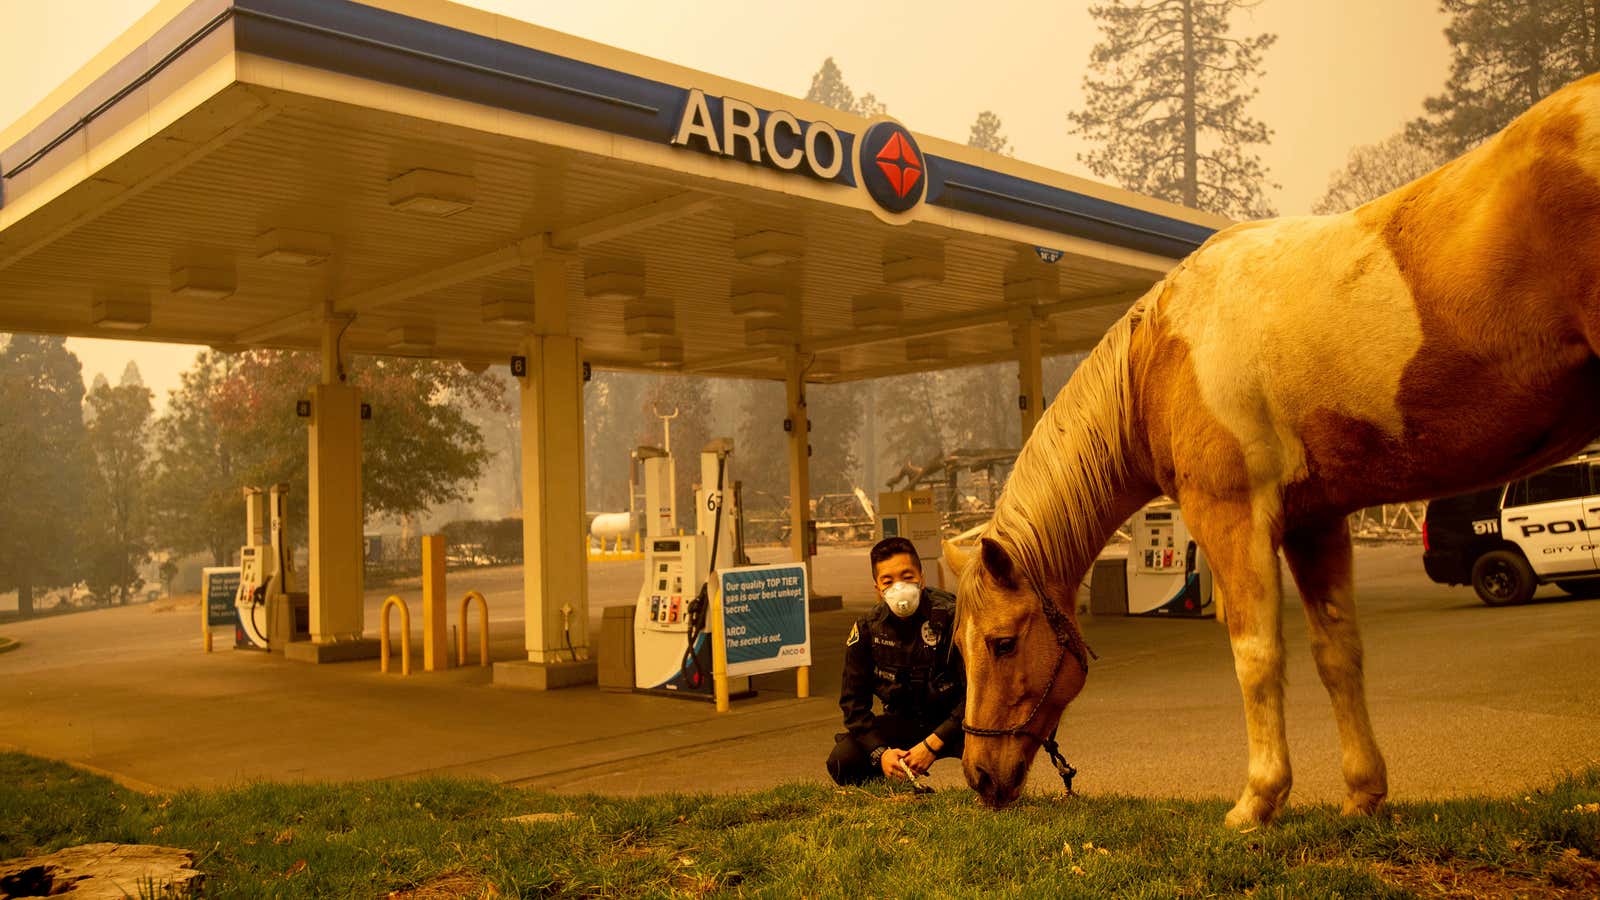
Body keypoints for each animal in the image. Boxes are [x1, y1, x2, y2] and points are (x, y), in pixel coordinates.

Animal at [940, 73, 1600, 826]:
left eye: (1002, 642)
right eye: (957, 647)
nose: (980, 775)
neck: (1161, 354)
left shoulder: (1231, 515)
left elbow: (1255, 655)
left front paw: (1258, 800)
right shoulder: (1317, 522)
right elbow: (1337, 650)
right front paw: (1363, 794)